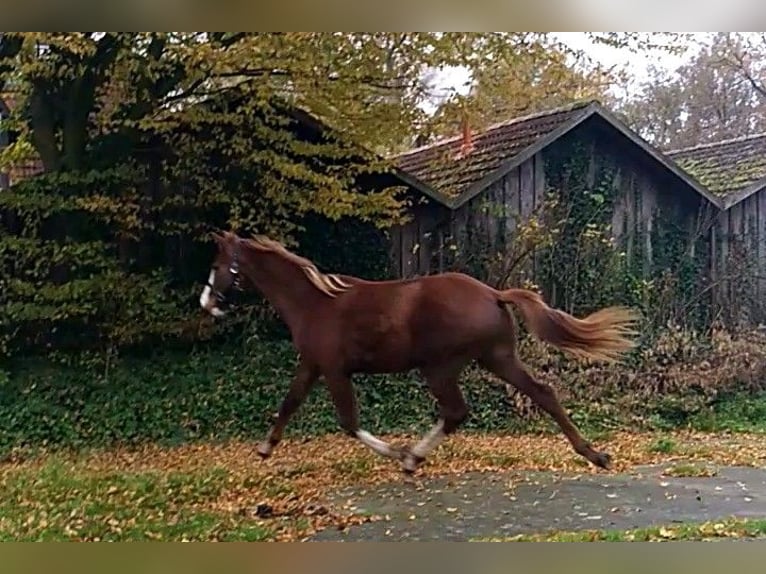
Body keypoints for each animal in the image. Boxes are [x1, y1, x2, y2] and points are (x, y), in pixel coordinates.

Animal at [201, 232, 640, 474]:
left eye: (220, 264)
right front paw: (265, 447)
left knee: (457, 412)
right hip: (496, 358)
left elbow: (348, 422)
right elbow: (289, 403)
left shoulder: (334, 370)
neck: (315, 301)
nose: (207, 303)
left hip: (441, 368)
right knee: (542, 394)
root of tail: (493, 294)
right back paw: (595, 455)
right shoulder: (312, 365)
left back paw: (412, 458)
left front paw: (397, 453)